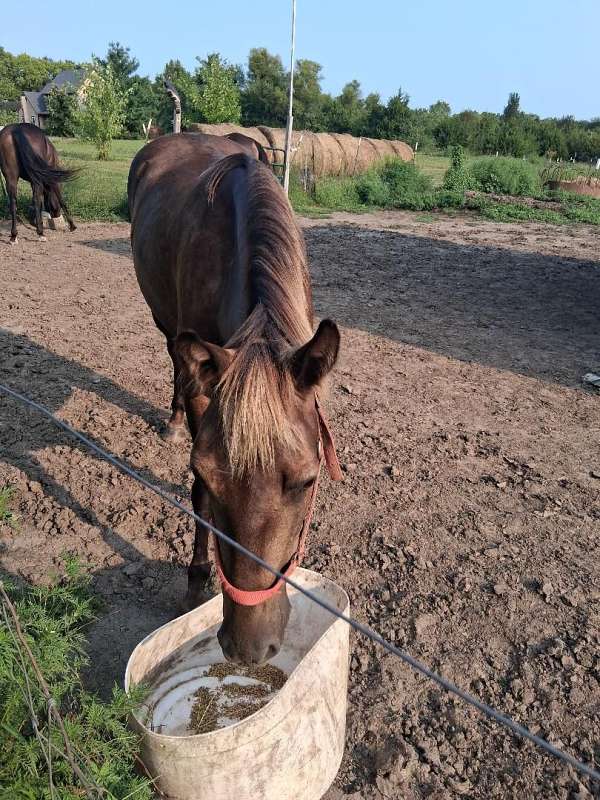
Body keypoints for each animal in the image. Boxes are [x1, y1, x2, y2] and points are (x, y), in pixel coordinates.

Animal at [128, 132, 341, 665]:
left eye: (307, 482)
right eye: (205, 472)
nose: (249, 647)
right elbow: (199, 500)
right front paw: (196, 581)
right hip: (169, 329)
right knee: (175, 362)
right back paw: (172, 419)